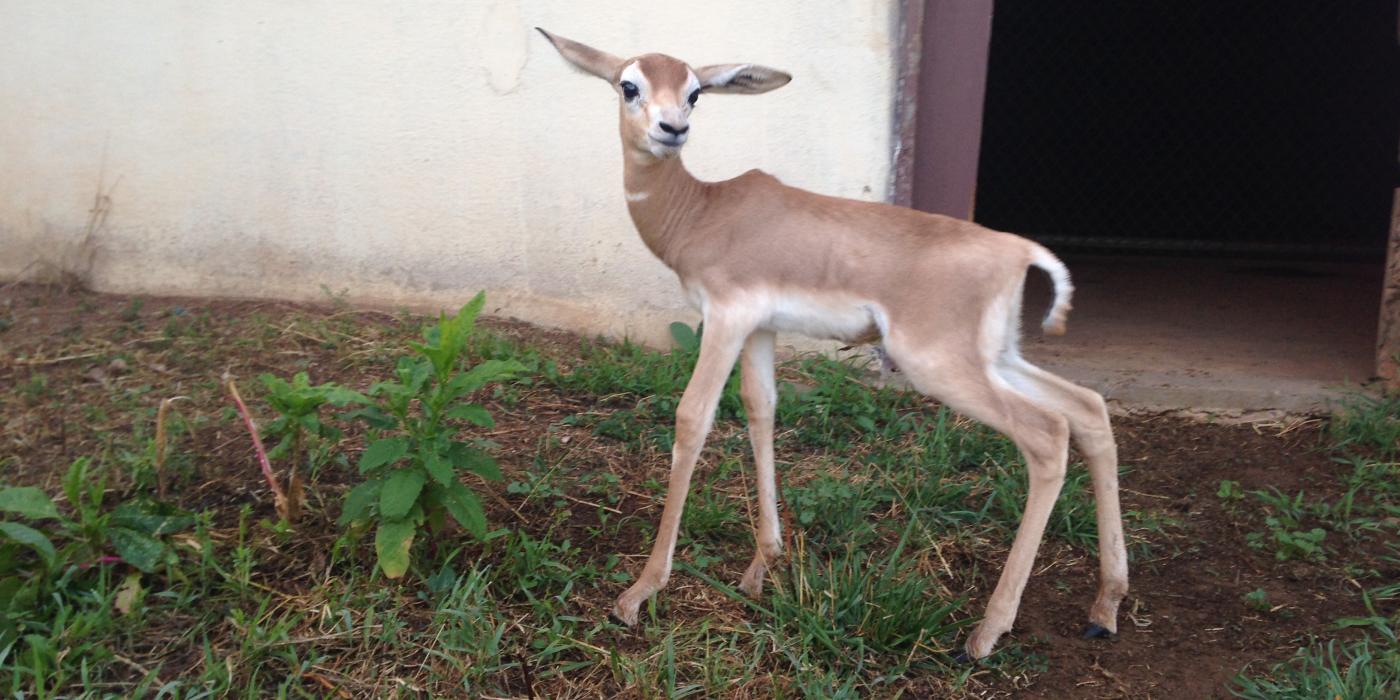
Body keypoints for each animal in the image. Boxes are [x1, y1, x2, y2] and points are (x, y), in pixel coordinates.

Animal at [534, 28, 1125, 660]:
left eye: (695, 92)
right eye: (629, 85)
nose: (672, 128)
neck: (702, 213)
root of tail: (1020, 251)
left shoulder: (724, 318)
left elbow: (693, 418)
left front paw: (639, 593)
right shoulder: (759, 327)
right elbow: (761, 410)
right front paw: (762, 566)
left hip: (939, 364)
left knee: (1047, 434)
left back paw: (987, 632)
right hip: (998, 357)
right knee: (1088, 408)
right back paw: (1105, 605)